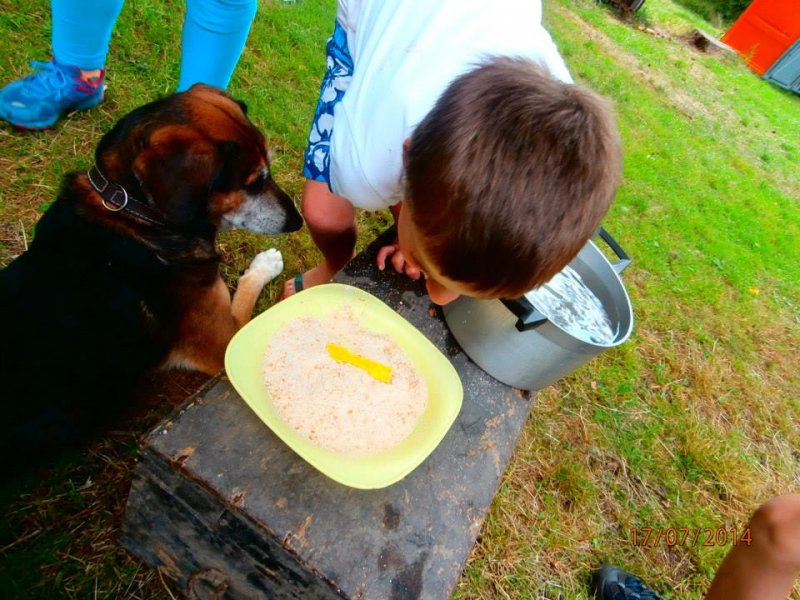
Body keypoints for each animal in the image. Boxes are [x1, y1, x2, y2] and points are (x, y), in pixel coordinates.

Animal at [0, 84, 303, 475]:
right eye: (254, 182)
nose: (298, 221)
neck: (134, 215)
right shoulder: (224, 342)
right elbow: (246, 292)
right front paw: (266, 263)